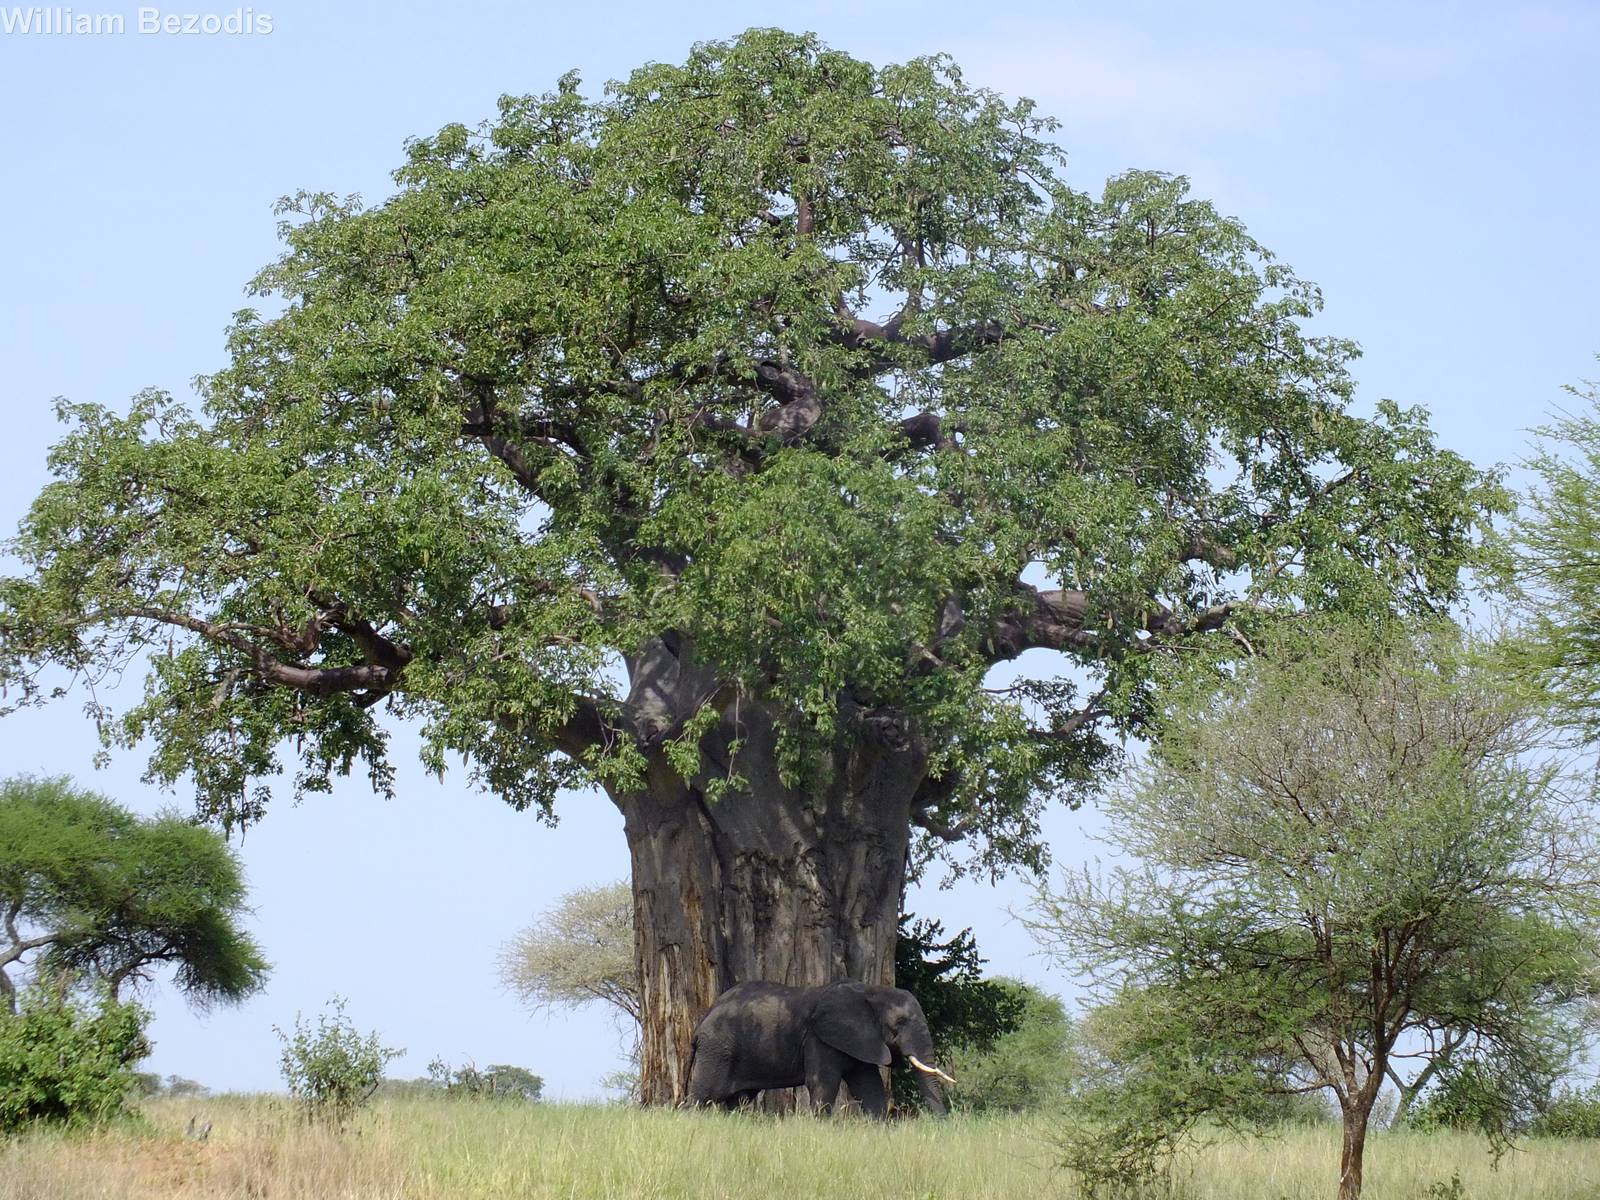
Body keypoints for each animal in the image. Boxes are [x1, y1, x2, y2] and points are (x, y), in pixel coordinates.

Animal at [685, 980, 956, 1117]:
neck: (870, 991)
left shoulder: (862, 1040)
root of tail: (701, 1023)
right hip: (717, 1048)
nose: (942, 1124)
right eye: (900, 1022)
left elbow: (870, 1088)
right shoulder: (819, 1037)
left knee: (737, 1101)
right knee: (703, 1095)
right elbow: (823, 1084)